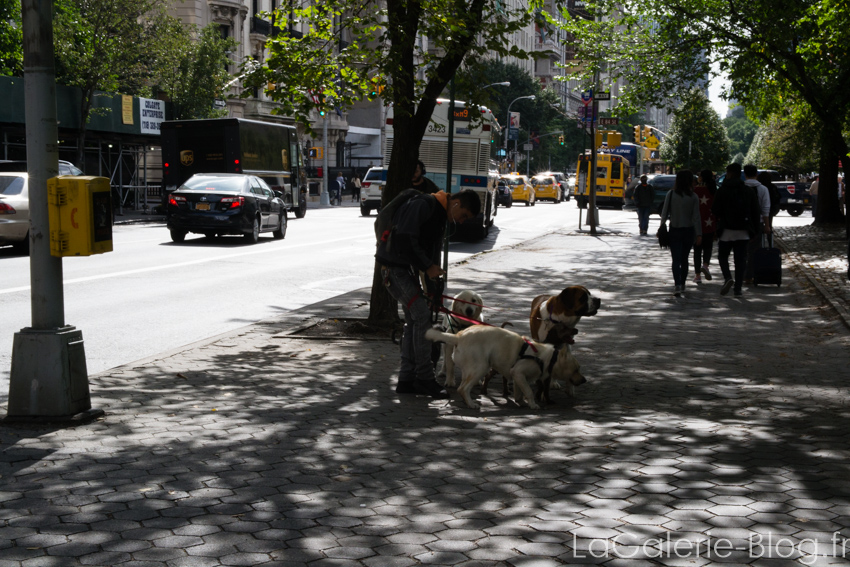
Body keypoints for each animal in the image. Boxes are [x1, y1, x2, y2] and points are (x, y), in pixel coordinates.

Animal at [424, 326, 584, 410]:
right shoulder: (518, 372)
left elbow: (520, 392)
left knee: (463, 387)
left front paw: (520, 401)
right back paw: (471, 404)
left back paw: (467, 401)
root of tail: (459, 336)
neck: (548, 359)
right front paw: (533, 405)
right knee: (462, 388)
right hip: (481, 367)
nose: (584, 380)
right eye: (576, 369)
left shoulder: (517, 376)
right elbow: (529, 392)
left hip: (470, 369)